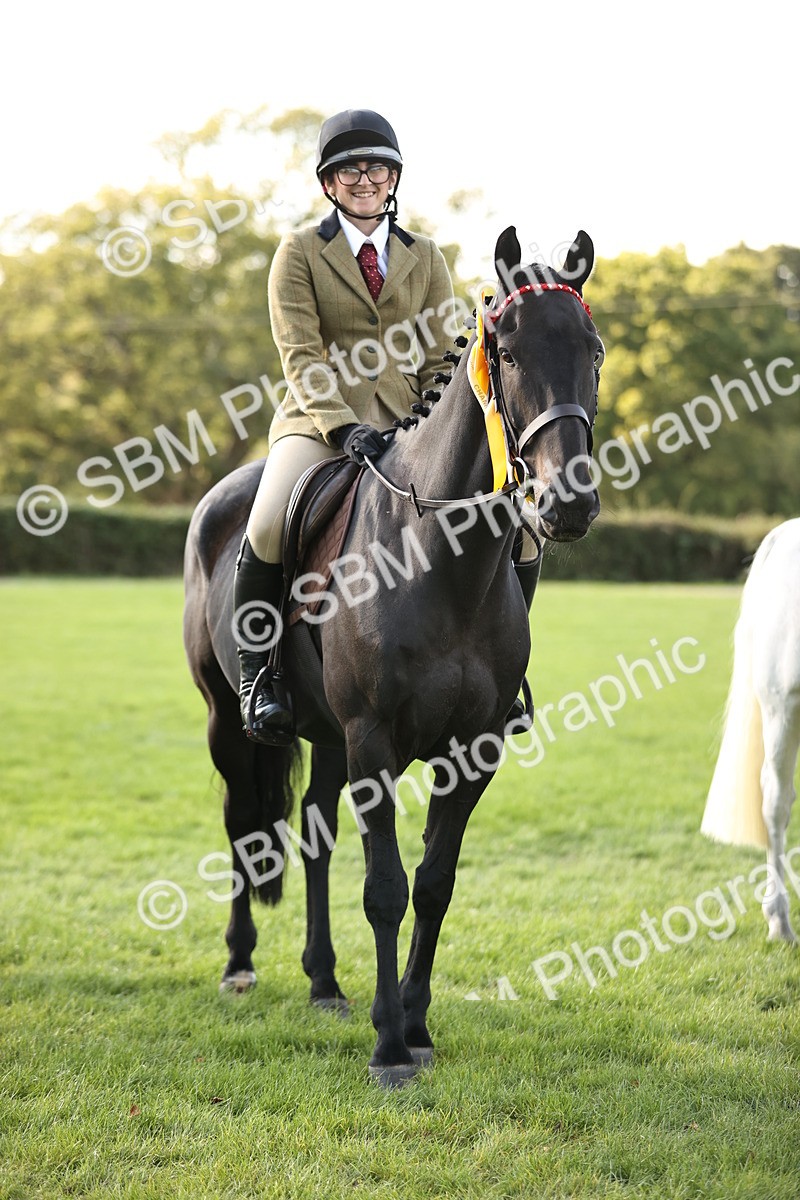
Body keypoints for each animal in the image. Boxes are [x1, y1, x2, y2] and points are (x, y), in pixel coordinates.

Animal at [183, 226, 602, 1084]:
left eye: (595, 350)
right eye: (508, 353)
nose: (568, 502)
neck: (442, 560)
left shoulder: (471, 751)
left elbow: (434, 884)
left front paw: (415, 1023)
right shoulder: (373, 740)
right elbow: (384, 886)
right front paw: (387, 1047)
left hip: (325, 735)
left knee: (313, 835)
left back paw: (323, 981)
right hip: (230, 721)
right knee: (243, 823)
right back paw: (240, 964)